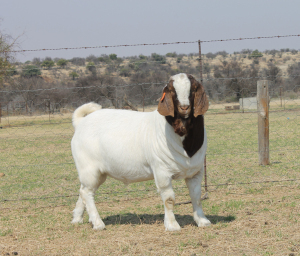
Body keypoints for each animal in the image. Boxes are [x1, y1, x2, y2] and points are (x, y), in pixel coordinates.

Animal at [71, 73, 210, 231]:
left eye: (193, 89)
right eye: (171, 90)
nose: (184, 107)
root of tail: (80, 123)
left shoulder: (195, 172)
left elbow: (196, 196)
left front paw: (202, 221)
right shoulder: (162, 171)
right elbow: (169, 199)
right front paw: (172, 225)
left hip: (97, 172)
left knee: (82, 190)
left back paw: (77, 218)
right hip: (89, 168)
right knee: (87, 193)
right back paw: (98, 223)